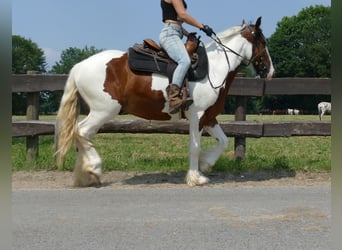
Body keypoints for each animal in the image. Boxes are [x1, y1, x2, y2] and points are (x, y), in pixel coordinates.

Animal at [54, 17, 274, 186]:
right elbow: (195, 147)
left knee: (81, 134)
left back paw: (85, 174)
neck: (215, 68)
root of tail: (79, 66)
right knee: (82, 131)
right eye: (263, 42)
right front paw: (195, 177)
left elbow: (224, 141)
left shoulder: (209, 117)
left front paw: (205, 164)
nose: (270, 71)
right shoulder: (198, 116)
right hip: (104, 111)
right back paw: (94, 169)